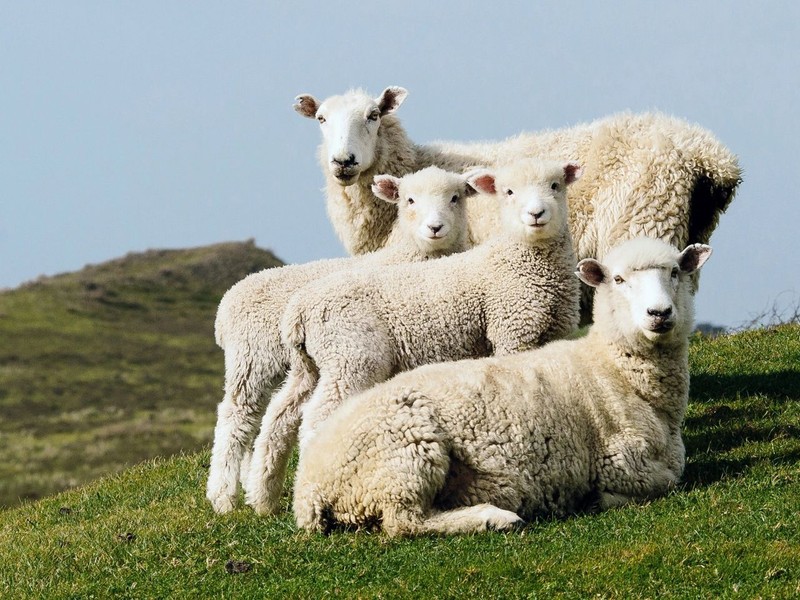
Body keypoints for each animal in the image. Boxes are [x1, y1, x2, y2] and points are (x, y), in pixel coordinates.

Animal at [206, 166, 478, 512]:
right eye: (409, 200)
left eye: (455, 197)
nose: (435, 228)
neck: (411, 254)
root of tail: (227, 303)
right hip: (254, 358)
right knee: (236, 416)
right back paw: (224, 496)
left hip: (298, 366)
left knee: (272, 416)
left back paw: (257, 491)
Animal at [244, 157, 580, 512]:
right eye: (509, 192)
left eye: (556, 186)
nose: (536, 214)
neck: (521, 262)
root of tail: (299, 309)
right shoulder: (513, 331)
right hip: (352, 356)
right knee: (316, 417)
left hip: (310, 365)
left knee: (280, 416)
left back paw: (262, 497)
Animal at [290, 234, 708, 536]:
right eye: (619, 280)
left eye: (675, 272)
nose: (659, 314)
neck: (613, 370)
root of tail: (308, 486)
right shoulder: (622, 462)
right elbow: (665, 482)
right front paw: (597, 499)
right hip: (406, 453)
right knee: (404, 522)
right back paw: (495, 518)